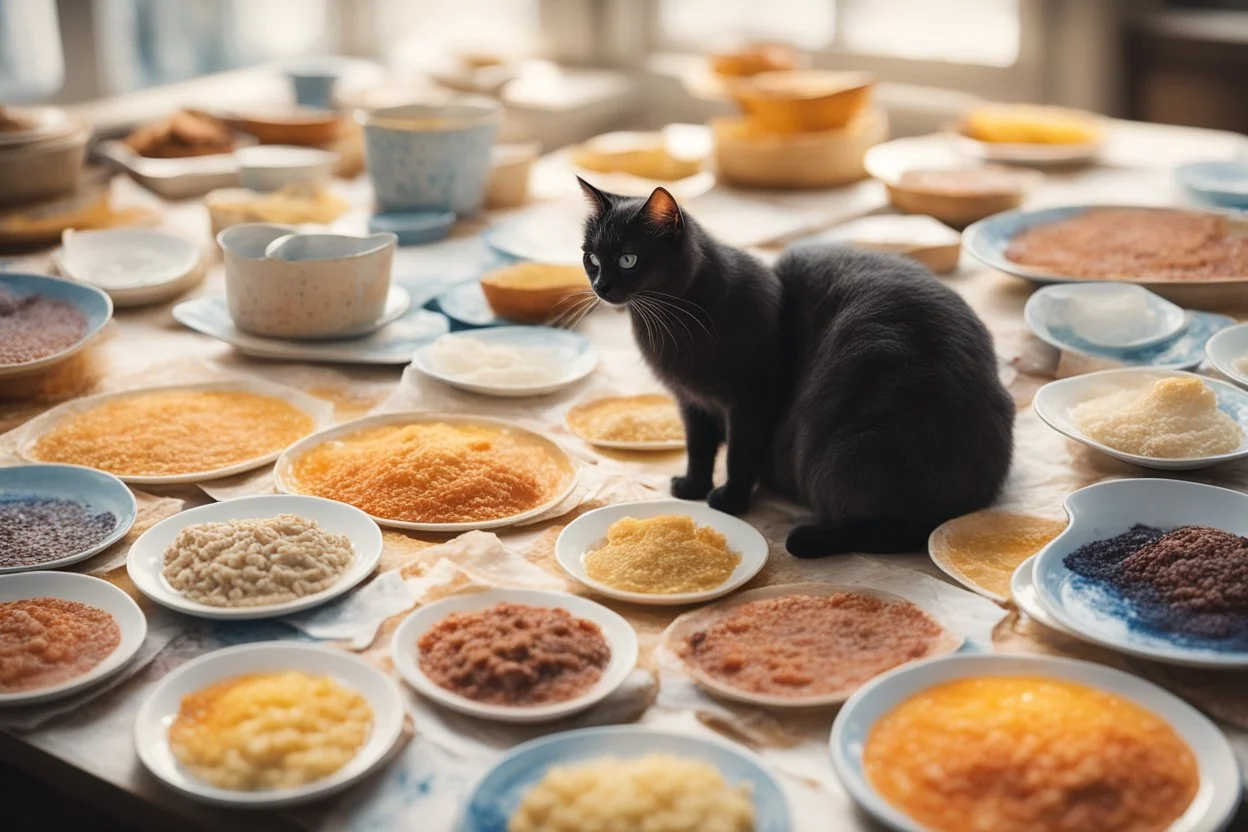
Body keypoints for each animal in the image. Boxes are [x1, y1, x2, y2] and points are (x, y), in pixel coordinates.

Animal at [579, 178, 1018, 556]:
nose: (601, 286)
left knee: (892, 529)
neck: (670, 321)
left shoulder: (750, 400)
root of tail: (957, 504)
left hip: (848, 447)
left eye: (628, 259)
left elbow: (739, 453)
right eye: (592, 258)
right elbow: (699, 448)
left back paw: (809, 538)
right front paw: (692, 486)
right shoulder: (692, 402)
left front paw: (730, 501)